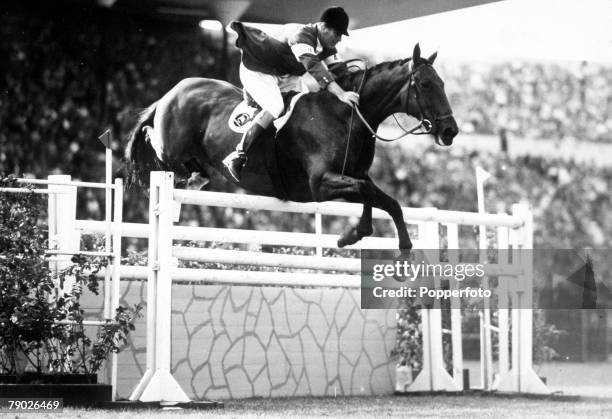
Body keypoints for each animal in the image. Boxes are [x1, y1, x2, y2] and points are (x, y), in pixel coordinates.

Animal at [125, 44, 460, 251]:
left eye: (443, 84)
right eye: (426, 85)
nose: (451, 130)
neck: (347, 114)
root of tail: (174, 90)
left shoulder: (351, 177)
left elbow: (386, 201)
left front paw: (393, 245)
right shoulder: (320, 185)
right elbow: (369, 193)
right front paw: (359, 235)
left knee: (191, 165)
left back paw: (196, 177)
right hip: (170, 146)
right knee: (152, 138)